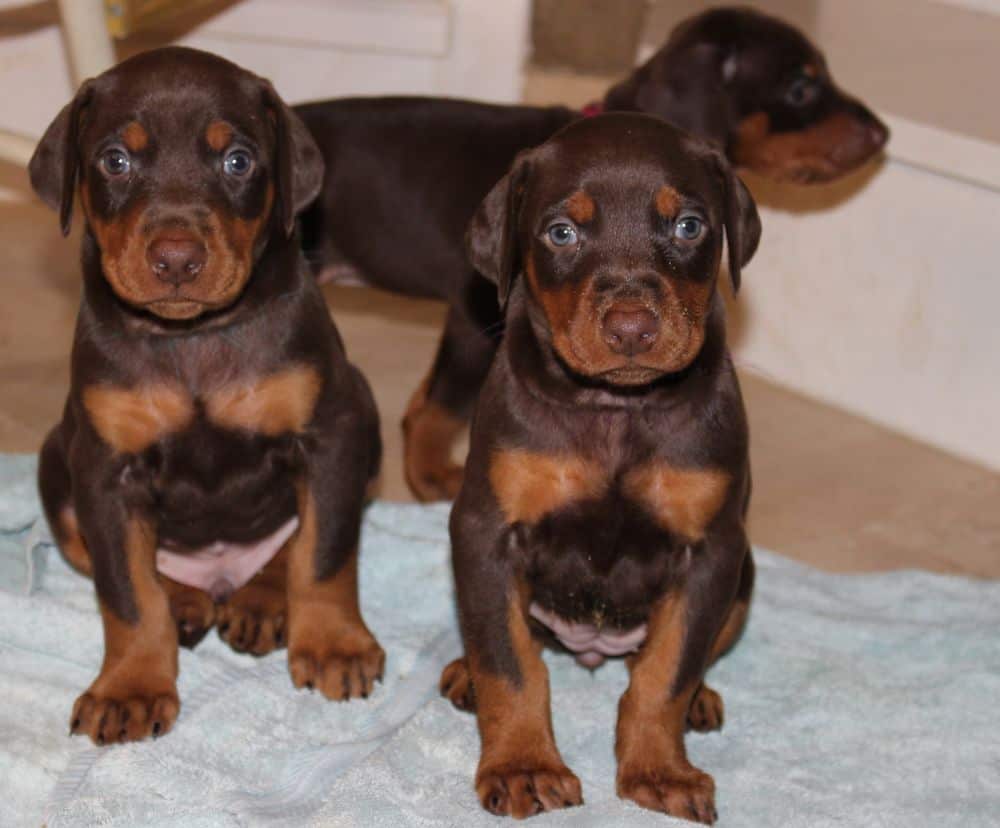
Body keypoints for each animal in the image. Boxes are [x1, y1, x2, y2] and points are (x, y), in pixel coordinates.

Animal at [30, 45, 382, 744]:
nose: (175, 259)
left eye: (237, 160)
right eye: (115, 160)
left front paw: (333, 644)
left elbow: (324, 552)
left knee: (287, 546)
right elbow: (126, 591)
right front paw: (130, 687)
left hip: (368, 415)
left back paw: (260, 602)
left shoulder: (333, 432)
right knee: (137, 568)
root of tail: (221, 575)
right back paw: (188, 601)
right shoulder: (103, 469)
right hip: (55, 460)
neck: (191, 338)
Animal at [292, 6, 888, 502]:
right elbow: (439, 408)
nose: (883, 134)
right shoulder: (473, 312)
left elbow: (427, 400)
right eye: (801, 86)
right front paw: (431, 476)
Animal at [438, 113, 756, 824]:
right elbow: (510, 663)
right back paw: (463, 673)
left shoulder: (713, 549)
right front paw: (524, 766)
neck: (616, 408)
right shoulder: (485, 531)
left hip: (746, 575)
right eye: (562, 232)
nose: (632, 329)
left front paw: (659, 772)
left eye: (688, 225)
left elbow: (667, 672)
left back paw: (702, 700)